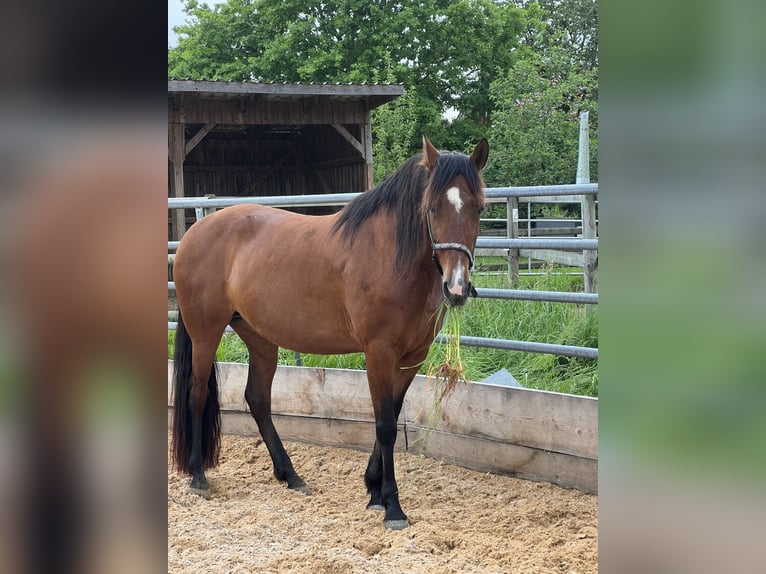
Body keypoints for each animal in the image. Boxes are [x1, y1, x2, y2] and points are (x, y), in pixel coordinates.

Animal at [172, 135, 488, 532]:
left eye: (478, 208)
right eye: (432, 209)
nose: (457, 287)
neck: (389, 255)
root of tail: (193, 234)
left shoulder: (411, 358)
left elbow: (392, 412)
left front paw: (373, 489)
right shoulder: (378, 352)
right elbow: (385, 423)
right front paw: (392, 506)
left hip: (260, 338)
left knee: (257, 399)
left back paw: (290, 475)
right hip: (205, 332)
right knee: (197, 394)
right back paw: (199, 477)